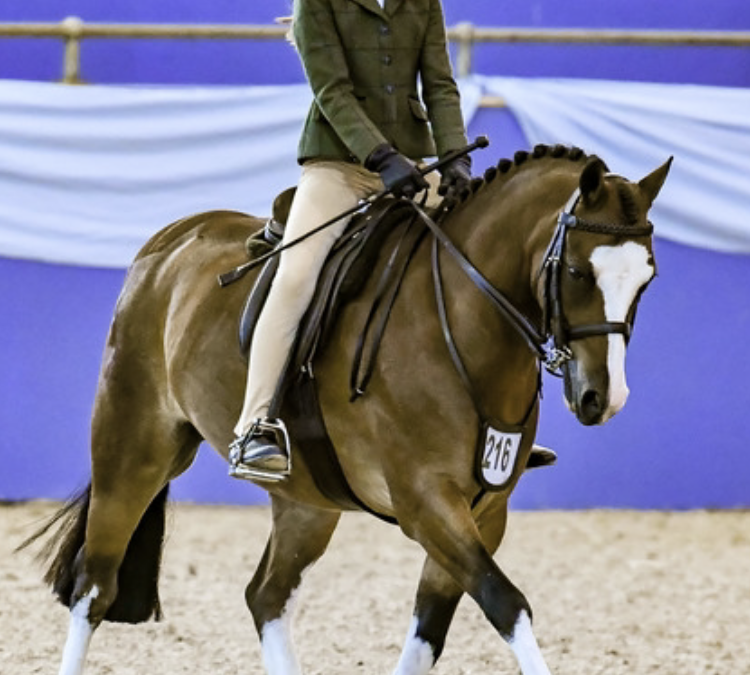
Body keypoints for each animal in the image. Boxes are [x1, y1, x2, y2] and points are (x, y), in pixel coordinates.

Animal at [25, 143, 671, 675]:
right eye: (577, 270)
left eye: (647, 278)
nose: (604, 398)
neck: (460, 326)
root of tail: (172, 239)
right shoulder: (425, 502)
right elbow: (507, 605)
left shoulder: (486, 512)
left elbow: (429, 632)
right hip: (135, 446)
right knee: (94, 586)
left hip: (306, 500)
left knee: (266, 595)